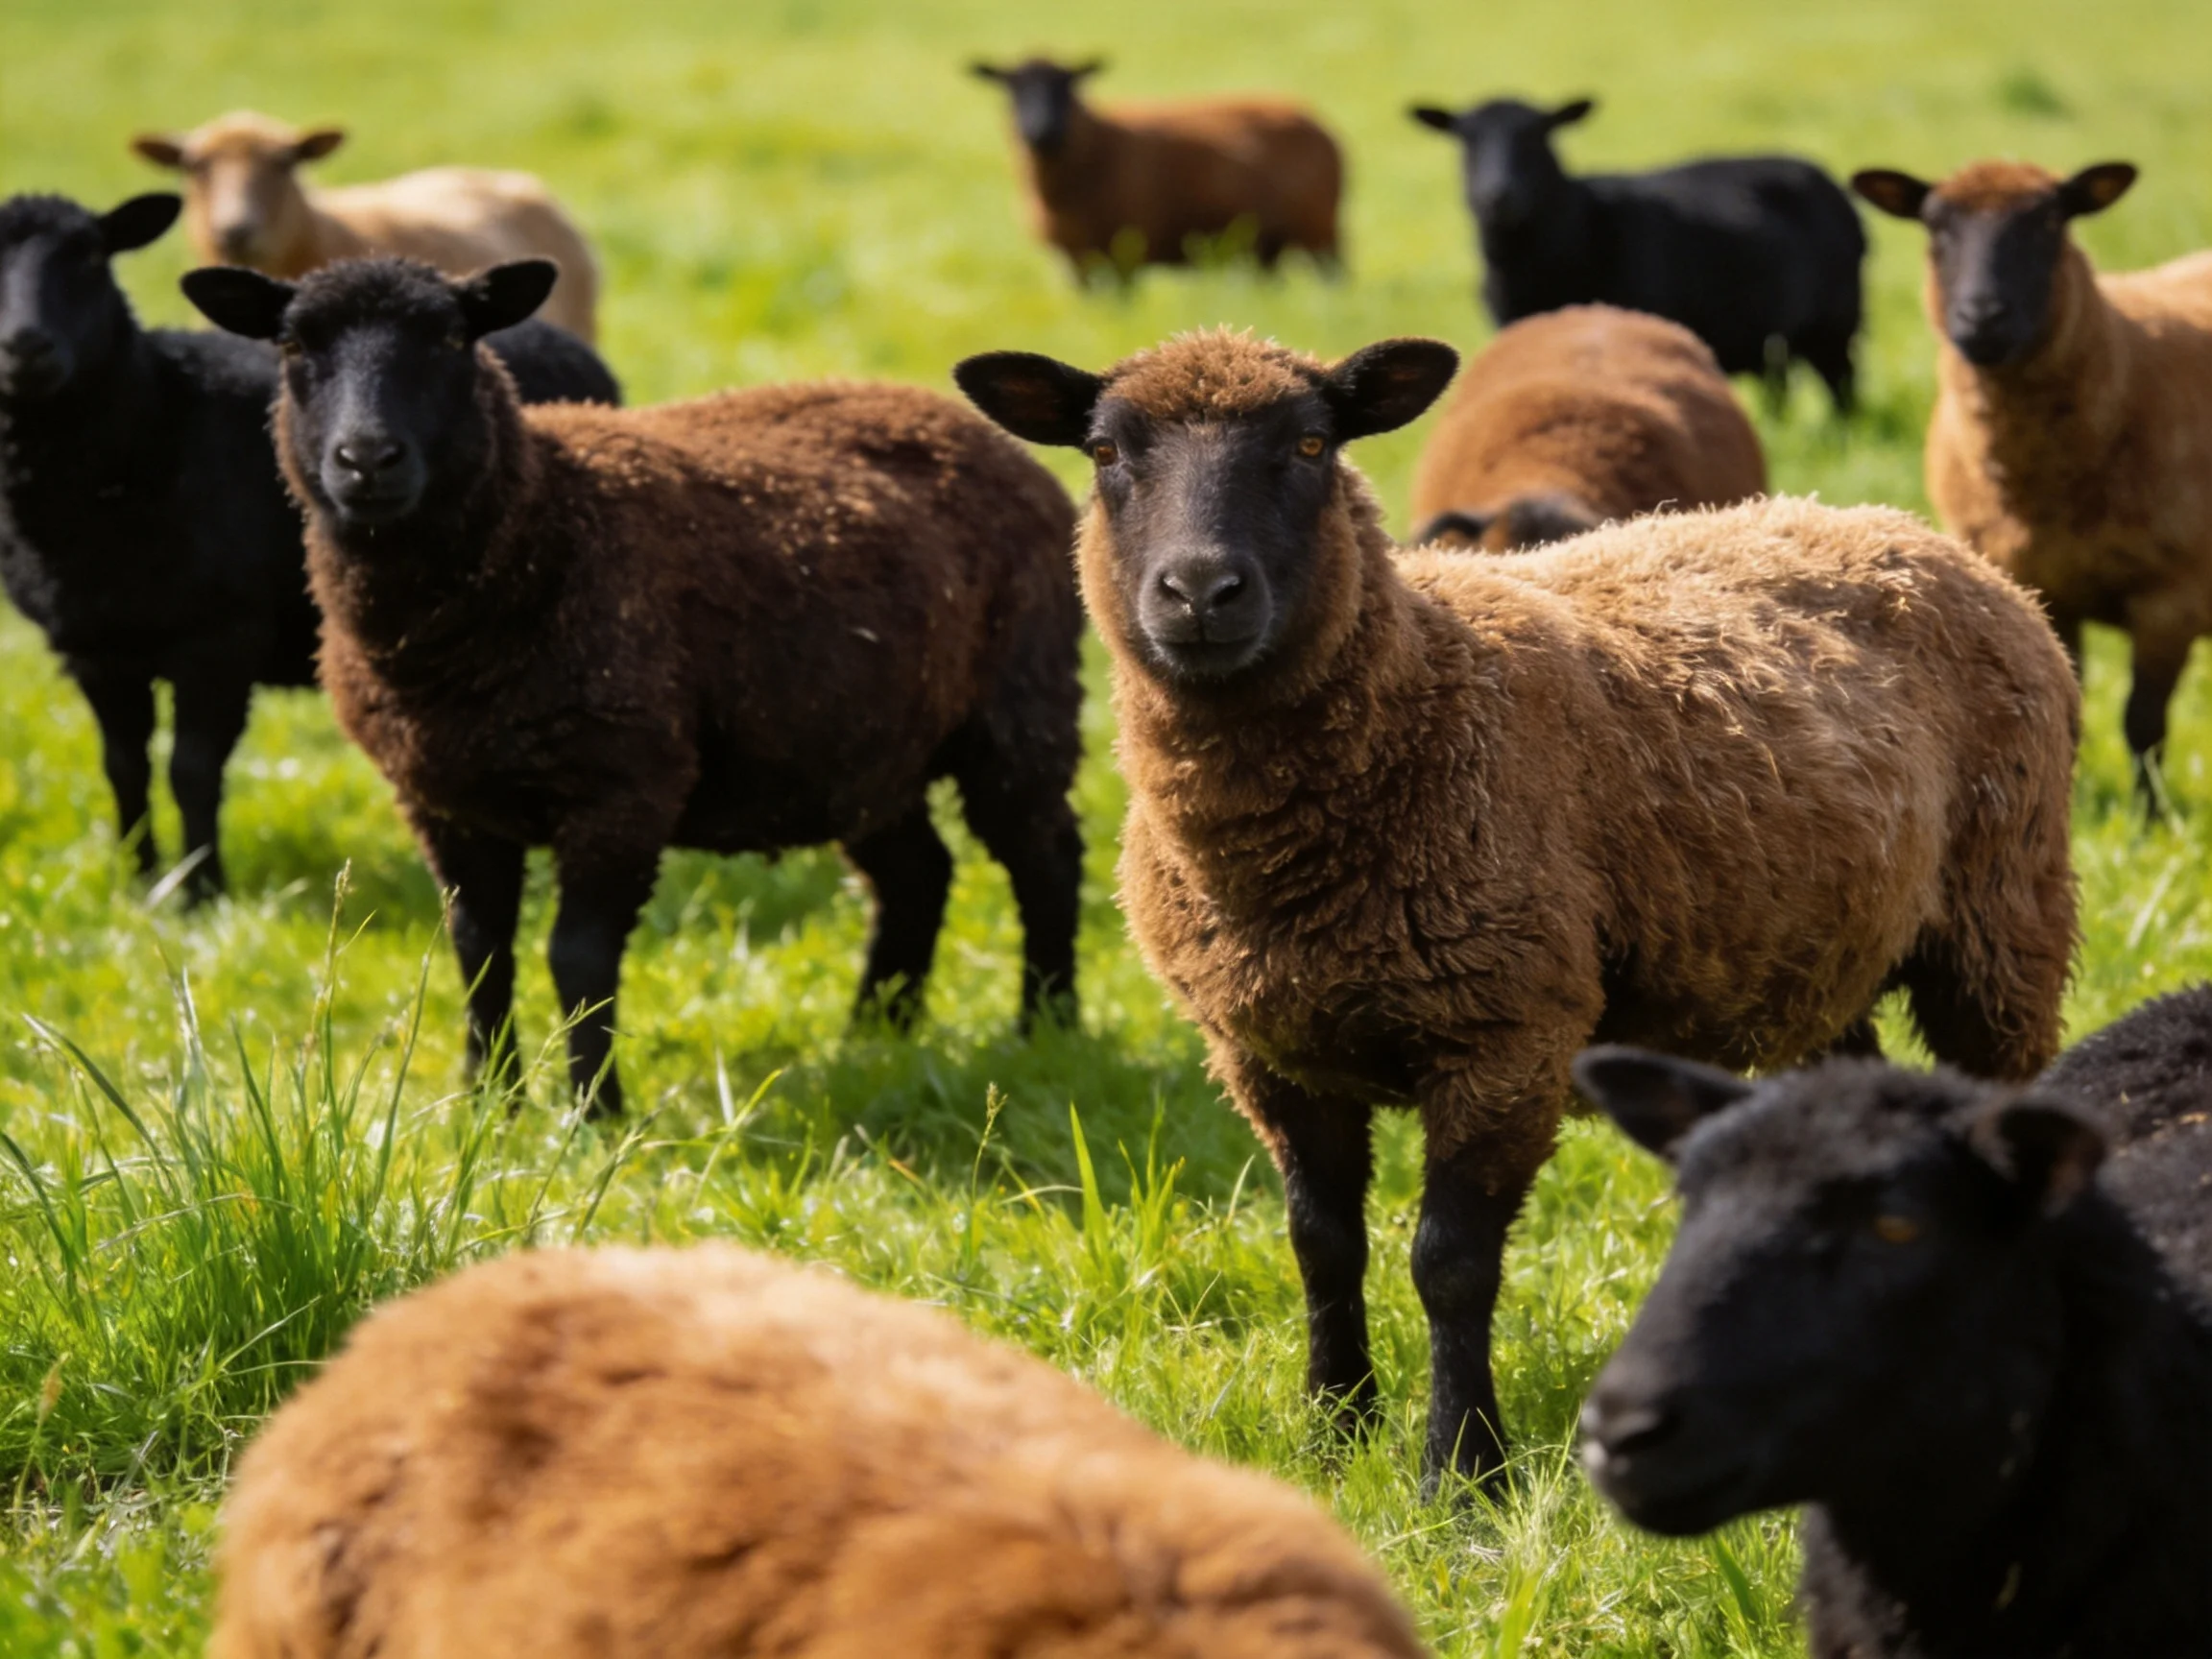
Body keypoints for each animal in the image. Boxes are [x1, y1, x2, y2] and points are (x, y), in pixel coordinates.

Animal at [184, 256, 1083, 1118]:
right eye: (292, 345)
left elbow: (577, 958)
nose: (366, 460)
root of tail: (972, 427)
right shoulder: (442, 798)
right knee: (915, 873)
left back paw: (1045, 1027)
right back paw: (876, 1034)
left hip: (1021, 710)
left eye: (450, 339)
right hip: (861, 746)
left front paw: (594, 1112)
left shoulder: (621, 786)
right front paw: (490, 1100)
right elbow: (477, 948)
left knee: (1046, 856)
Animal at [970, 58, 1342, 278]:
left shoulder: (1125, 252)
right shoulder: (1078, 260)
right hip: (1273, 247)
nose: (1041, 131)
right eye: (1011, 90)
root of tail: (1318, 123)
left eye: (1068, 86)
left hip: (1320, 233)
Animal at [1410, 97, 1865, 412]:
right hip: (1777, 338)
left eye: (1538, 138)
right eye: (1465, 142)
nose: (1497, 196)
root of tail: (1822, 176)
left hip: (1837, 328)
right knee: (1780, 384)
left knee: (1843, 391)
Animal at [1851, 160, 2212, 809]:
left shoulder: (2171, 595)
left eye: (2049, 221)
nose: (1982, 318)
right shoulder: (2042, 586)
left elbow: (2144, 724)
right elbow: (2067, 703)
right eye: (1935, 226)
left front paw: (2151, 818)